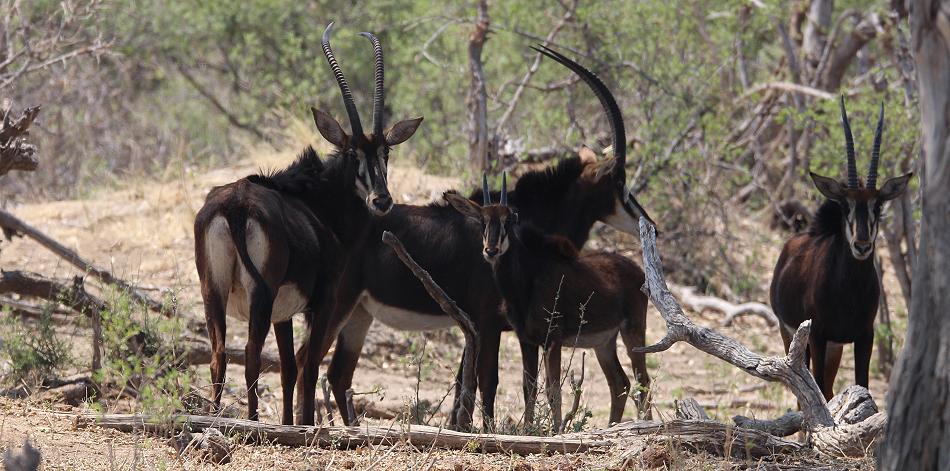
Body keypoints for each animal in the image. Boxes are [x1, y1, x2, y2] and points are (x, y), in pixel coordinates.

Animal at [192, 24, 422, 426]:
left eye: (386, 151)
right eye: (351, 152)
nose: (381, 200)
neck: (318, 201)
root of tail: (236, 206)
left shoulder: (284, 313)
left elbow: (287, 368)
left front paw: (289, 424)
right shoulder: (324, 300)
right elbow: (309, 365)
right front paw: (307, 426)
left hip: (213, 291)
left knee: (219, 355)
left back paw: (217, 418)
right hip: (261, 296)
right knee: (251, 355)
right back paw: (251, 421)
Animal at [446, 174, 656, 432]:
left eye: (509, 219)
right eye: (481, 220)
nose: (491, 250)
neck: (524, 283)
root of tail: (638, 270)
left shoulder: (552, 339)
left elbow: (553, 389)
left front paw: (555, 431)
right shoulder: (527, 341)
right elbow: (529, 388)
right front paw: (527, 430)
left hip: (633, 330)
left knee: (642, 381)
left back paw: (643, 424)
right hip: (604, 342)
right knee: (620, 383)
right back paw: (612, 425)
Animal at [772, 97, 916, 400]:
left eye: (878, 205)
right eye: (845, 205)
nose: (862, 245)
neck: (850, 290)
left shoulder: (863, 337)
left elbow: (862, 384)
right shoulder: (817, 335)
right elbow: (814, 389)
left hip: (834, 348)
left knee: (826, 387)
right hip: (791, 335)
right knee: (806, 390)